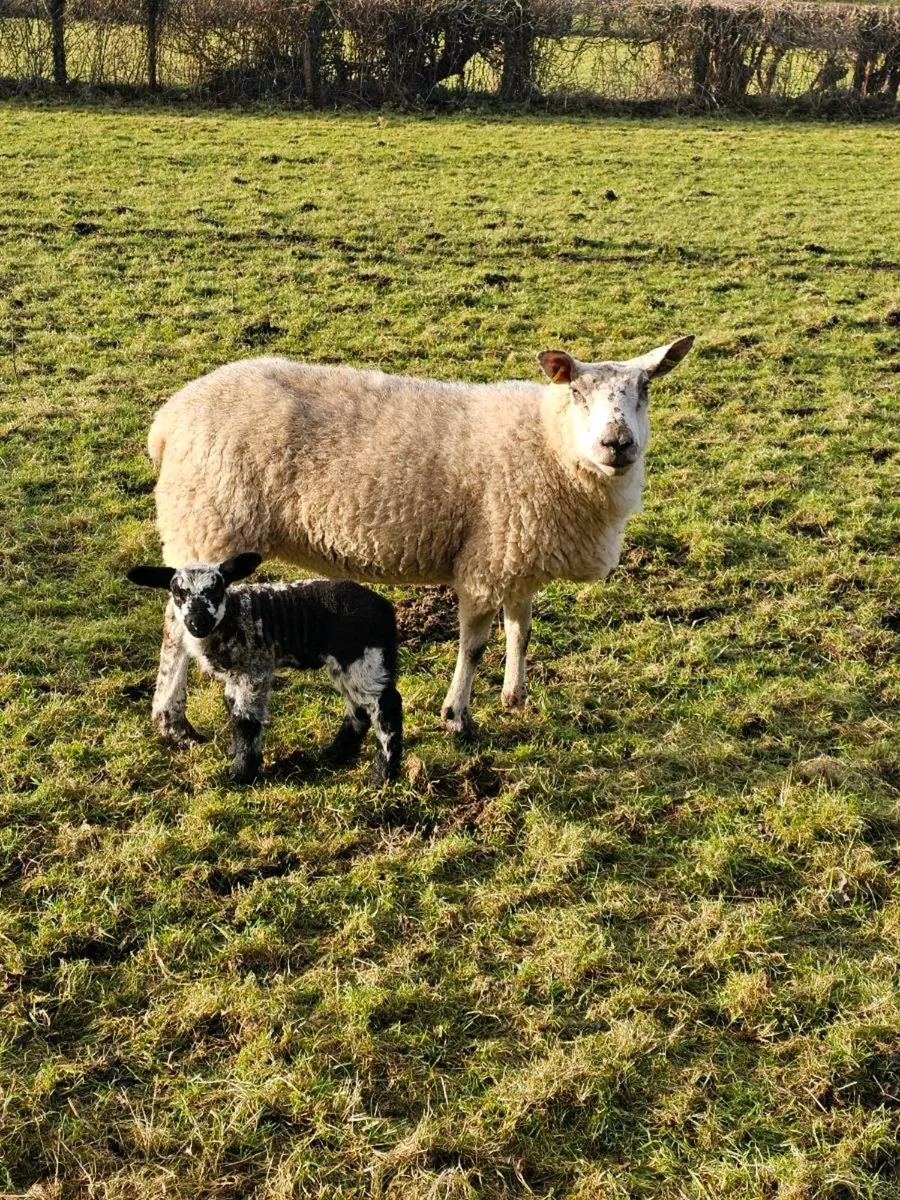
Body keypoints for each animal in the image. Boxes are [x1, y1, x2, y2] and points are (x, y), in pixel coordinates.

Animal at [127, 553, 403, 785]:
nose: (198, 622)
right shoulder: (236, 675)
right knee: (359, 708)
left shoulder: (254, 670)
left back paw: (382, 775)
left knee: (386, 706)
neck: (232, 617)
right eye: (178, 592)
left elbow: (245, 718)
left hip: (364, 659)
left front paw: (241, 773)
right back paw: (335, 754)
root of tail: (386, 610)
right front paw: (236, 752)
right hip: (348, 664)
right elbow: (231, 707)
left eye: (216, 590)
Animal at [145, 336, 694, 743]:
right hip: (206, 523)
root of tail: (169, 417)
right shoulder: (487, 560)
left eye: (645, 389)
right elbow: (474, 645)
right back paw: (173, 722)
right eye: (577, 392)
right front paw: (458, 717)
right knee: (176, 629)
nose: (617, 444)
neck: (548, 443)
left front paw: (515, 697)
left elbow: (520, 631)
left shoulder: (518, 556)